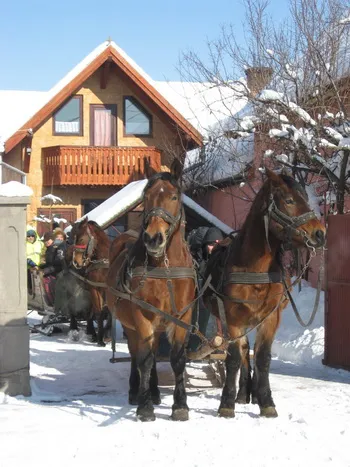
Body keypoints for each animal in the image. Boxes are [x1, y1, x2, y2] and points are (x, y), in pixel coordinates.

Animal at [64, 218, 110, 346]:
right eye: (72, 238)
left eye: (81, 239)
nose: (76, 262)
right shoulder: (95, 288)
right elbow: (99, 312)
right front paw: (100, 339)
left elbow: (108, 312)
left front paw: (105, 335)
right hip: (73, 287)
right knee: (72, 306)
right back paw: (74, 328)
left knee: (89, 311)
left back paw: (91, 331)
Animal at [106, 159, 197, 422]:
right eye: (146, 196)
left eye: (174, 196)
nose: (153, 238)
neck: (163, 267)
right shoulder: (142, 315)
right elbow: (144, 360)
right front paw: (144, 406)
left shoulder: (182, 317)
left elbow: (177, 360)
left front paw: (180, 405)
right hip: (130, 323)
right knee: (136, 353)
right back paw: (136, 391)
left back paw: (155, 391)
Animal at [205, 169, 326, 420]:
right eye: (289, 201)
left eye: (305, 198)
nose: (320, 233)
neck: (254, 269)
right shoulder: (233, 319)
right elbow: (233, 358)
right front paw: (227, 403)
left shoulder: (271, 318)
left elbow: (263, 358)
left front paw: (266, 401)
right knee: (242, 351)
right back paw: (242, 394)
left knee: (249, 352)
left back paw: (249, 394)